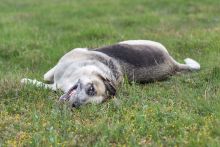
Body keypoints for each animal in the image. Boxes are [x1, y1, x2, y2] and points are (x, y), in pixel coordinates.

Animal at [21, 39, 200, 107]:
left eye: (89, 104)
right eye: (91, 89)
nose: (75, 105)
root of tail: (173, 65)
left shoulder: (57, 85)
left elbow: (44, 81)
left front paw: (25, 81)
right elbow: (46, 76)